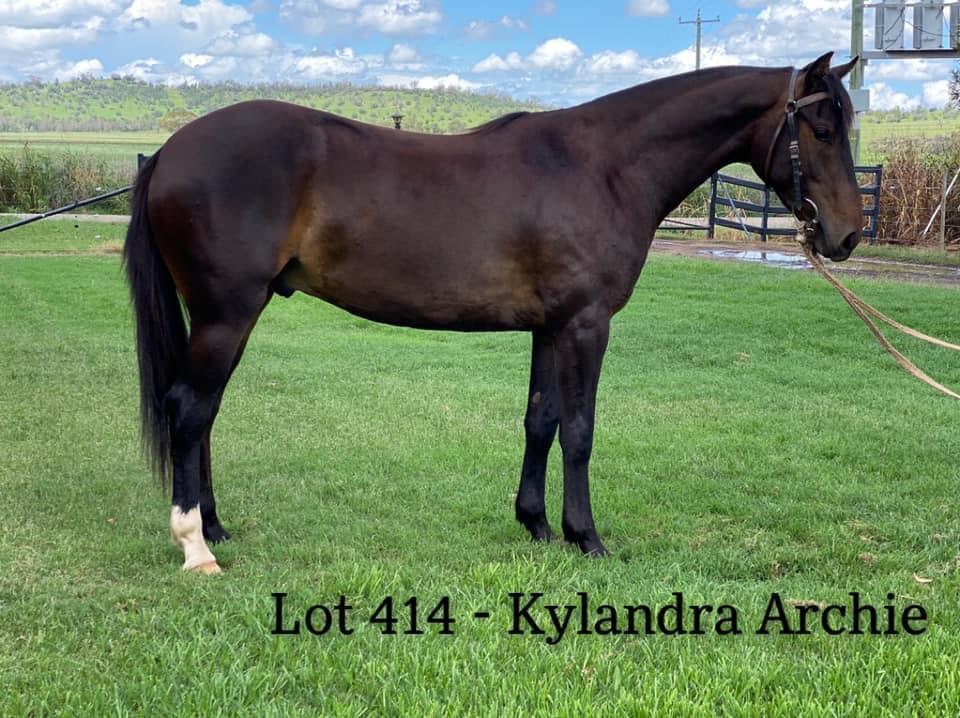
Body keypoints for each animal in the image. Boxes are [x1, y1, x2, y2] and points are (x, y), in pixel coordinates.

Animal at [124, 52, 863, 574]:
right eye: (823, 130)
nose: (848, 236)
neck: (602, 168)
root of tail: (168, 152)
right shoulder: (587, 325)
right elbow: (580, 430)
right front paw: (587, 538)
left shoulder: (551, 328)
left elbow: (541, 421)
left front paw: (535, 524)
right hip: (225, 314)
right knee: (189, 407)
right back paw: (196, 546)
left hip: (227, 316)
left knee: (204, 413)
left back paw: (215, 525)